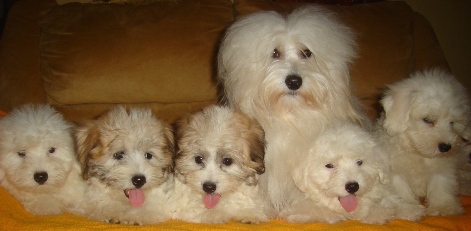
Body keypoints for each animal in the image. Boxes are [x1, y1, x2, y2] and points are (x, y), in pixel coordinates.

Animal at [278, 124, 426, 224]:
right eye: (329, 165)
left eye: (359, 162)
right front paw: (380, 213)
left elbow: (389, 198)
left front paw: (410, 209)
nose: (352, 186)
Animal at [376, 69, 471, 217]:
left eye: (452, 122)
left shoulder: (442, 169)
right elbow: (401, 190)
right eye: (427, 120)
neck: (418, 153)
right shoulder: (395, 173)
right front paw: (409, 209)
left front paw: (444, 208)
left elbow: (440, 185)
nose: (446, 147)